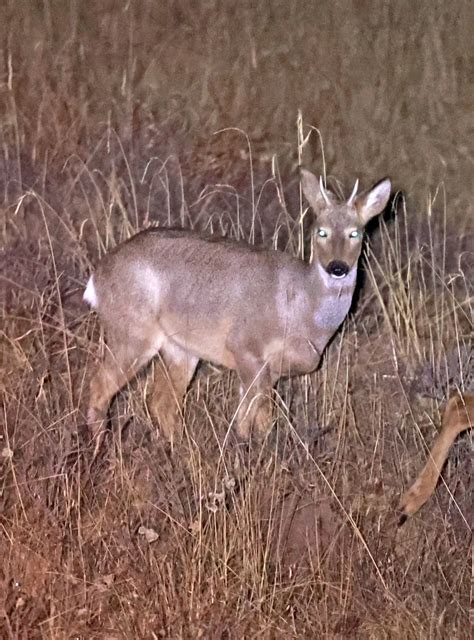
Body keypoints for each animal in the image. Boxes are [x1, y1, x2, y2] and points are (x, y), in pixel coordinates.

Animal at [83, 168, 391, 443]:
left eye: (355, 233)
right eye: (321, 232)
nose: (337, 267)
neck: (302, 311)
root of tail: (97, 278)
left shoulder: (270, 370)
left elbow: (255, 418)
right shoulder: (245, 346)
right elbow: (254, 420)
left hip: (180, 349)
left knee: (162, 403)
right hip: (133, 332)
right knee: (99, 388)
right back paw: (101, 449)